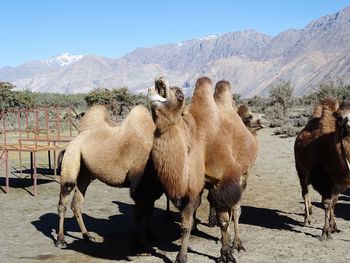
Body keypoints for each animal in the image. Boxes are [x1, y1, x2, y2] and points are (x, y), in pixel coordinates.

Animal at [54, 104, 164, 249]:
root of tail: (69, 143)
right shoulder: (138, 182)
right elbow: (139, 213)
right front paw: (136, 243)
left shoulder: (152, 185)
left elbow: (149, 210)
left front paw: (150, 235)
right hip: (72, 157)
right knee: (65, 195)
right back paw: (60, 240)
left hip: (84, 173)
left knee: (76, 204)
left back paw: (87, 236)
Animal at [148, 76, 258, 262]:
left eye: (180, 95)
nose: (160, 80)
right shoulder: (191, 188)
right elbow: (186, 223)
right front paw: (181, 256)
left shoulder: (224, 179)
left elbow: (224, 220)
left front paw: (226, 253)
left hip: (244, 174)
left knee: (236, 210)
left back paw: (237, 243)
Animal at [296, 97, 350, 241]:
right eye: (340, 116)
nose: (347, 121)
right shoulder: (321, 178)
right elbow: (327, 203)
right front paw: (325, 232)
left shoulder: (339, 181)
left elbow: (334, 201)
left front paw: (334, 226)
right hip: (301, 169)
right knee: (305, 192)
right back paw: (306, 219)